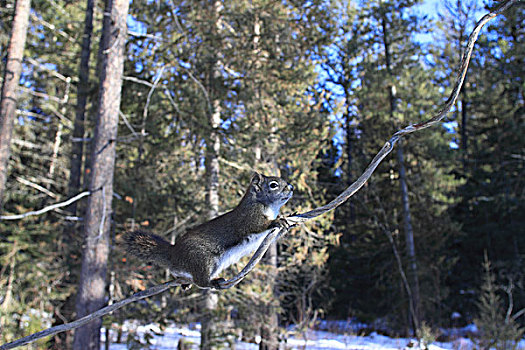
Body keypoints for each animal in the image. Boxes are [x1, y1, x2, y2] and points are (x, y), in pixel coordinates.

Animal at [124, 172, 292, 290]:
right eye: (273, 185)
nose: (291, 188)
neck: (267, 206)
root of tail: (173, 254)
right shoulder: (249, 217)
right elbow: (257, 225)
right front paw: (277, 221)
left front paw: (288, 219)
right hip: (202, 260)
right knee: (201, 281)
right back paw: (212, 282)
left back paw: (185, 283)